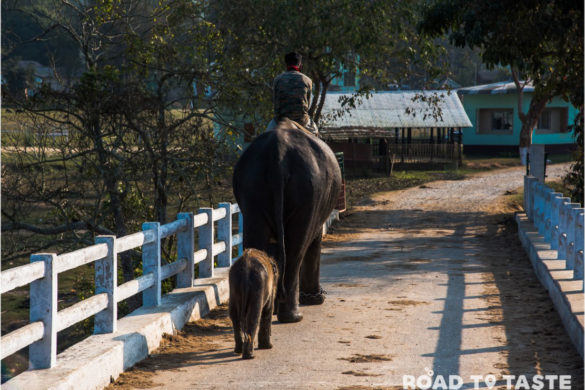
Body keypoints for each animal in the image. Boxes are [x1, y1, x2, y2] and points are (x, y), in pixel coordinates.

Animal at [233, 119, 342, 322]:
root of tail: (277, 155)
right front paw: (316, 299)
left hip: (252, 186)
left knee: (257, 239)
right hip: (309, 190)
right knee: (296, 248)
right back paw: (293, 316)